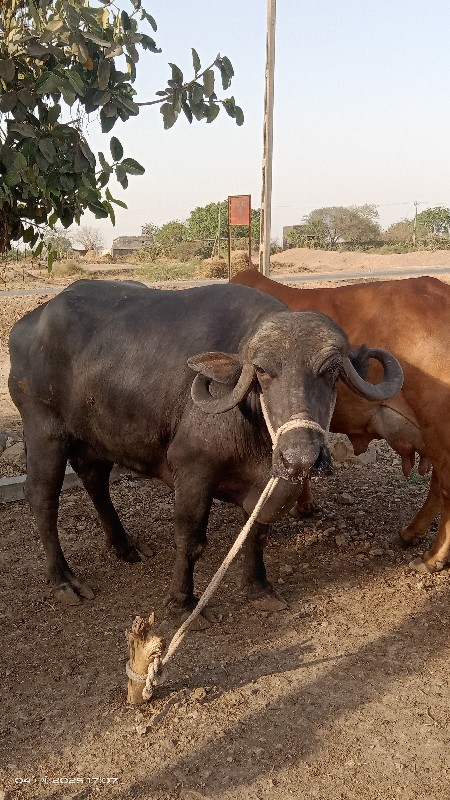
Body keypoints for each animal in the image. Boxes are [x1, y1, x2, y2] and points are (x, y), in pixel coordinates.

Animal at [7, 282, 400, 612]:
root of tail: (25, 327)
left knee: (94, 480)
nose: (301, 456)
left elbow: (257, 532)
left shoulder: (268, 486)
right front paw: (183, 602)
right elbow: (191, 540)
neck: (254, 430)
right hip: (44, 433)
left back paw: (125, 545)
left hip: (97, 437)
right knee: (42, 496)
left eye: (331, 369)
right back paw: (64, 580)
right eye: (262, 370)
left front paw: (259, 589)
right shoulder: (193, 473)